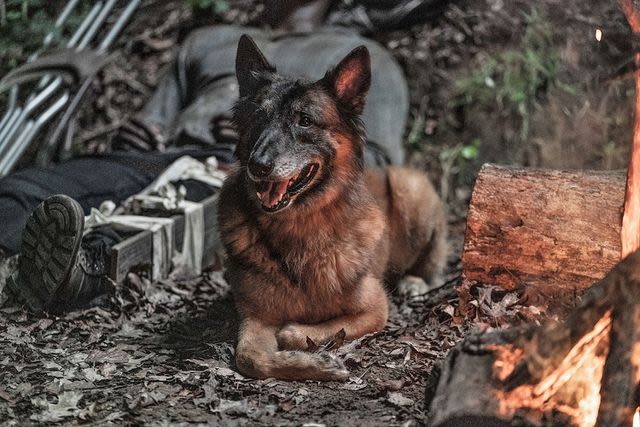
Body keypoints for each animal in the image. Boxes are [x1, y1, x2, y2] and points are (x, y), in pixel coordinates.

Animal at [218, 36, 448, 382]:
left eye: (305, 121)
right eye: (258, 118)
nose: (257, 166)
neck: (300, 225)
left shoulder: (375, 308)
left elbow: (295, 330)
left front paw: (308, 345)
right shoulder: (255, 317)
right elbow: (248, 358)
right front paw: (313, 365)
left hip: (411, 188)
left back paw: (415, 281)